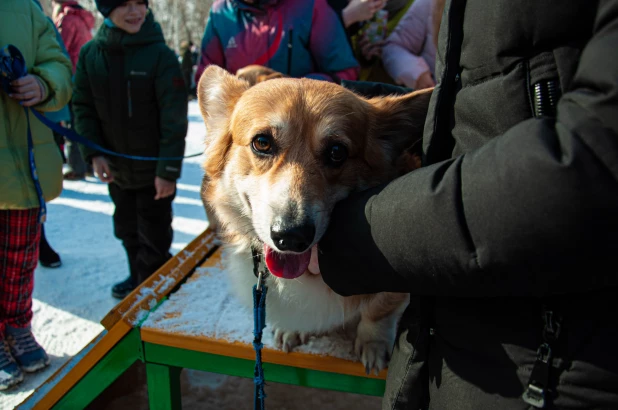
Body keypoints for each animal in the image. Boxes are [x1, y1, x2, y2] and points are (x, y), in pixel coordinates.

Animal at [196, 65, 428, 374]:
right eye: (262, 143)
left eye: (337, 152)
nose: (290, 237)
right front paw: (293, 330)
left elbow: (378, 312)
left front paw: (373, 345)